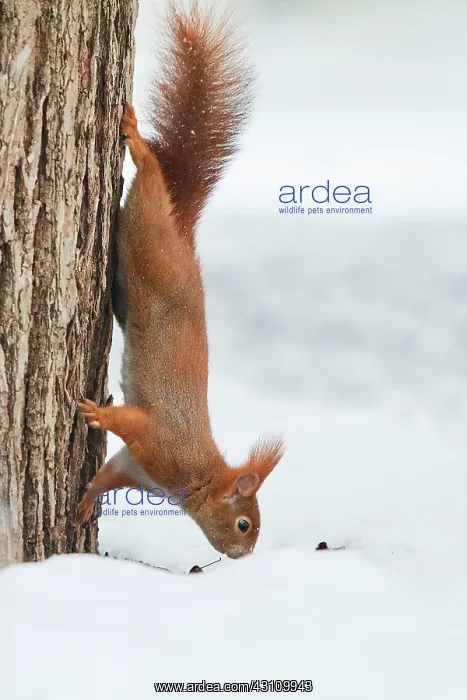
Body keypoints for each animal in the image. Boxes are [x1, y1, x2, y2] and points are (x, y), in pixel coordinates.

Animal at [76, 1, 284, 559]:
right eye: (244, 524)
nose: (244, 557)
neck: (199, 475)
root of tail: (183, 234)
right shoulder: (159, 440)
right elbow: (130, 422)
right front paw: (95, 412)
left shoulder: (136, 467)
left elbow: (108, 475)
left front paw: (85, 502)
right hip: (150, 239)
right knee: (149, 173)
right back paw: (134, 136)